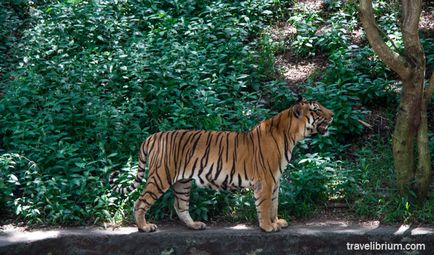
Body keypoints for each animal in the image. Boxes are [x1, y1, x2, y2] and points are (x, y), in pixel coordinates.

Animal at [108, 96, 332, 232]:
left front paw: (277, 222)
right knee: (140, 201)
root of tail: (152, 136)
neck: (291, 136)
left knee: (180, 205)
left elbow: (275, 204)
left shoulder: (275, 180)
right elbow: (265, 204)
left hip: (183, 182)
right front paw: (268, 227)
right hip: (161, 176)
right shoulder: (266, 181)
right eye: (317, 110)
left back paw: (195, 225)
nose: (333, 115)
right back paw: (145, 227)